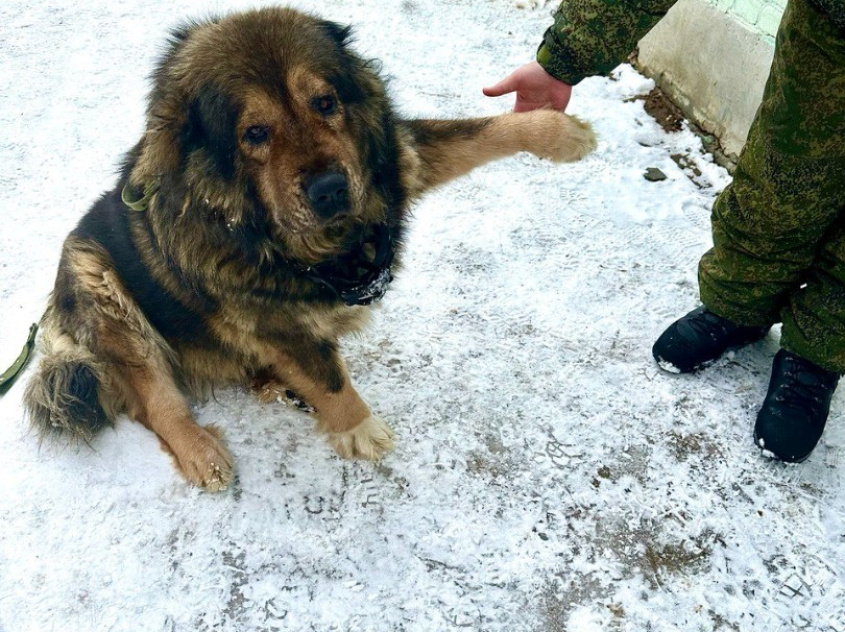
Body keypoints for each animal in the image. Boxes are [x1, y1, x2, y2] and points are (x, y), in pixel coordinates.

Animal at [24, 7, 592, 492]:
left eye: (325, 103)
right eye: (255, 132)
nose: (330, 189)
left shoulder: (393, 163)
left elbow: (479, 132)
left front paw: (560, 133)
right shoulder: (277, 323)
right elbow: (332, 382)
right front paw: (361, 430)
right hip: (99, 283)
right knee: (154, 403)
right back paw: (203, 453)